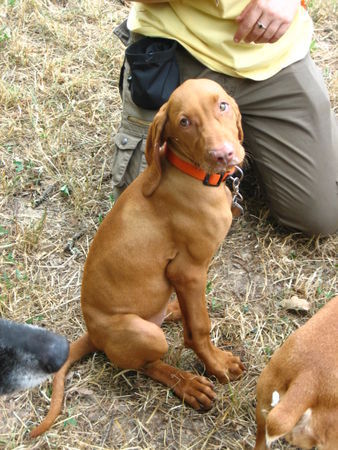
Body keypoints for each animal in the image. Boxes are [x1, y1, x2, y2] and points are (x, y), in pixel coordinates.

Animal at [30, 79, 244, 438]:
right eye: (184, 122)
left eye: (223, 105)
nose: (224, 154)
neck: (190, 175)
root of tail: (93, 334)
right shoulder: (188, 271)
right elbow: (200, 328)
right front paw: (216, 365)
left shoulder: (186, 278)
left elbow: (195, 322)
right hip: (146, 334)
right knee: (146, 364)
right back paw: (187, 384)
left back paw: (173, 311)